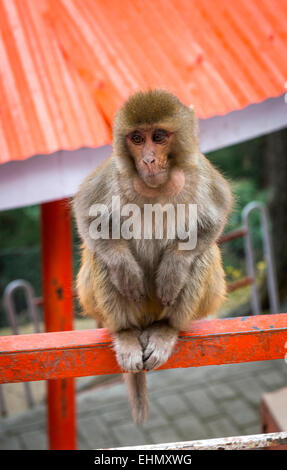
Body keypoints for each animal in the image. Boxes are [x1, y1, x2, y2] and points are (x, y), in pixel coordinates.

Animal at [73, 88, 233, 422]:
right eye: (136, 138)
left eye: (158, 137)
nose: (147, 159)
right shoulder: (112, 173)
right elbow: (86, 215)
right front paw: (125, 269)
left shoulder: (199, 170)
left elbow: (217, 214)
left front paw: (175, 265)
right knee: (101, 257)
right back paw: (125, 333)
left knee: (202, 255)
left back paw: (166, 329)